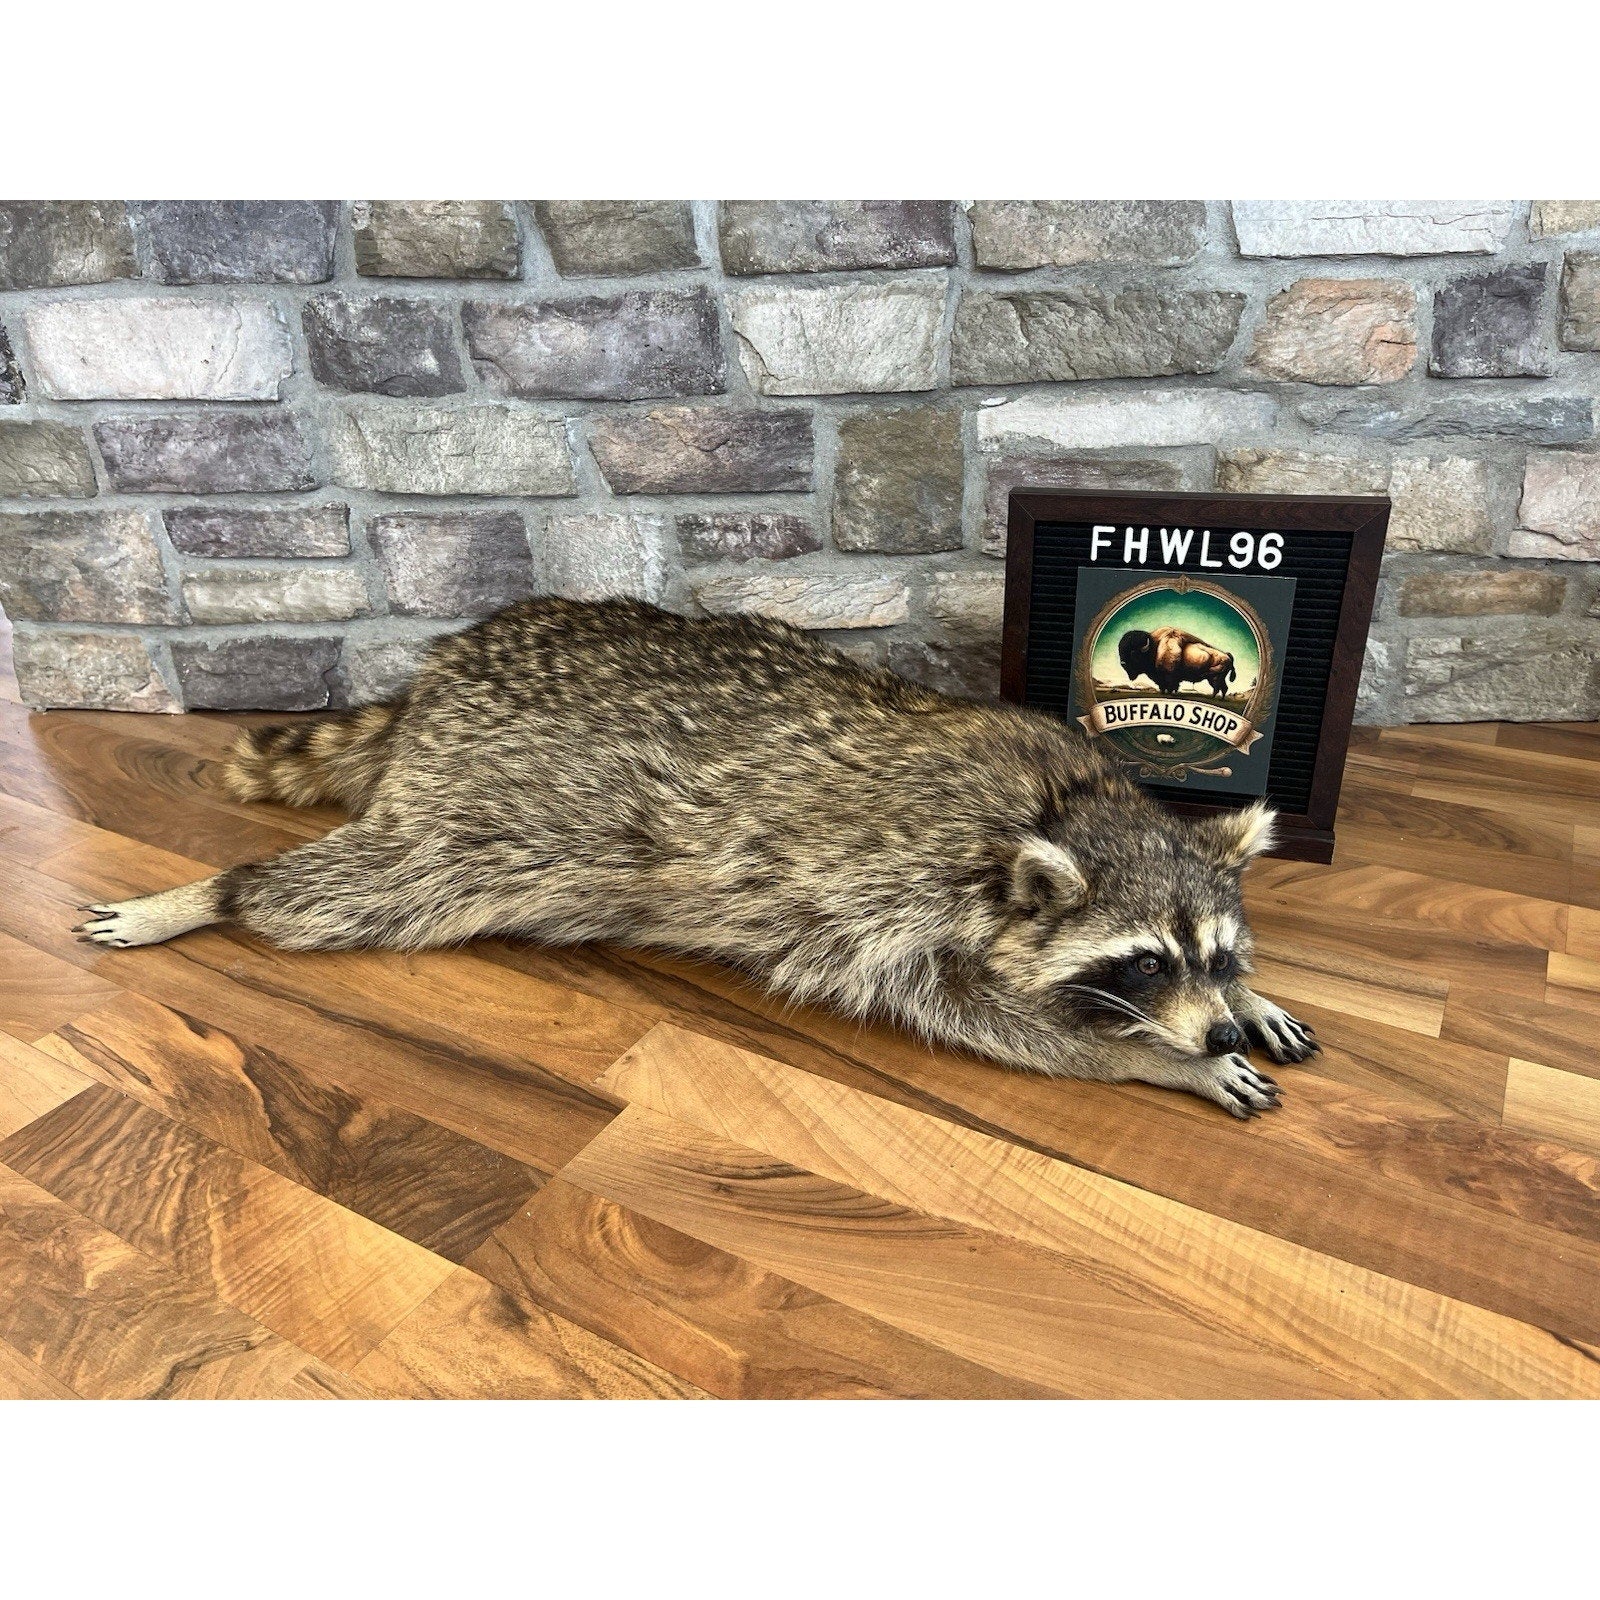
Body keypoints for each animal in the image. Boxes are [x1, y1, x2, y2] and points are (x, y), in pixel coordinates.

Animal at [75, 597, 1316, 1117]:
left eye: (1212, 952)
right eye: (1142, 963)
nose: (1210, 1021)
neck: (1074, 804)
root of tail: (437, 676)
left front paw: (1246, 1006)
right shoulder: (895, 901)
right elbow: (986, 1018)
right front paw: (1153, 1058)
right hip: (470, 819)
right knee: (354, 886)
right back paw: (215, 890)